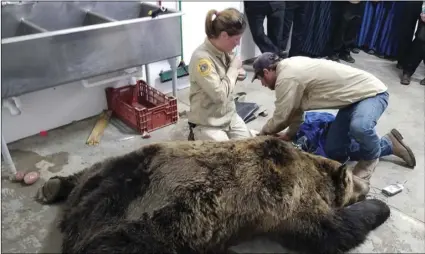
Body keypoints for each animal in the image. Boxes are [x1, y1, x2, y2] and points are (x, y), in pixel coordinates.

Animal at [34, 137, 390, 254]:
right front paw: (381, 206)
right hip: (141, 231)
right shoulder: (288, 199)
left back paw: (54, 186)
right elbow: (330, 231)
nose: (368, 186)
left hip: (126, 163)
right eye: (355, 182)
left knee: (92, 170)